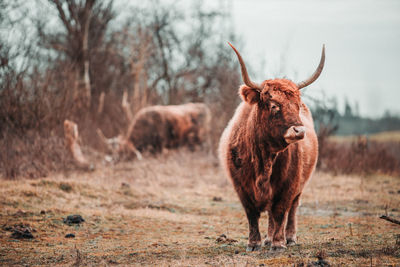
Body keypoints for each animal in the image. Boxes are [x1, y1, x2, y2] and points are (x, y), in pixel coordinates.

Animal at [219, 43, 324, 252]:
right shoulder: (241, 187)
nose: (299, 130)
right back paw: (267, 239)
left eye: (297, 105)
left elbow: (280, 211)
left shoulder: (288, 185)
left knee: (292, 209)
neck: (264, 158)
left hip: (300, 186)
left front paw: (278, 243)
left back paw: (289, 238)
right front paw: (254, 243)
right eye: (274, 105)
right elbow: (252, 215)